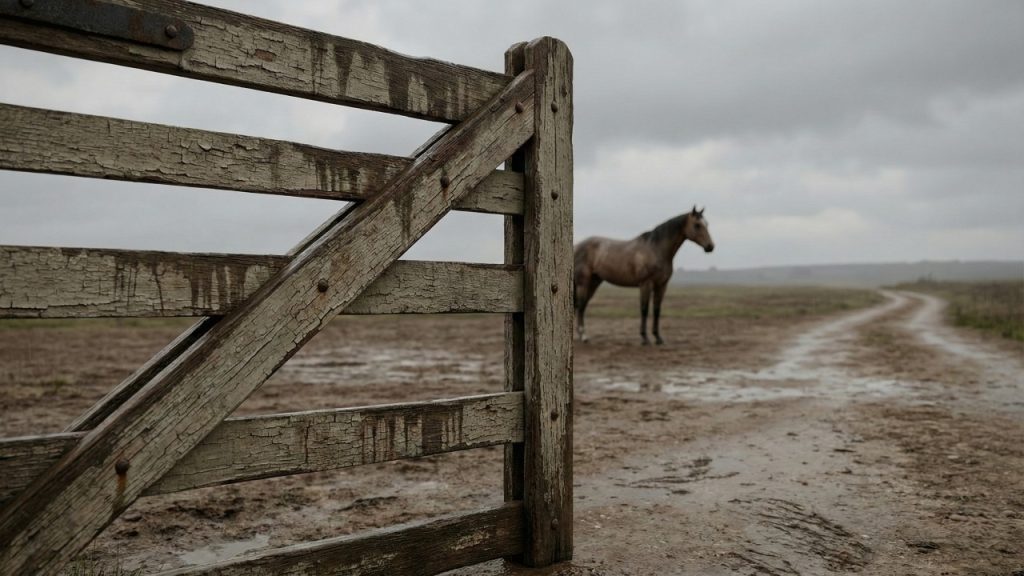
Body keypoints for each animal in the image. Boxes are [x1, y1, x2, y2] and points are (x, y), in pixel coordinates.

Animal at [573, 206, 715, 345]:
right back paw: (583, 336)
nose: (710, 246)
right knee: (580, 307)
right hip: (583, 283)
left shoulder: (661, 286)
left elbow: (657, 310)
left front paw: (658, 338)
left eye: (707, 223)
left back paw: (580, 335)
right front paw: (644, 338)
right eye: (697, 225)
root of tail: (576, 246)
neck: (656, 249)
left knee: (581, 306)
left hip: (594, 282)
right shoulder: (646, 284)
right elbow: (644, 309)